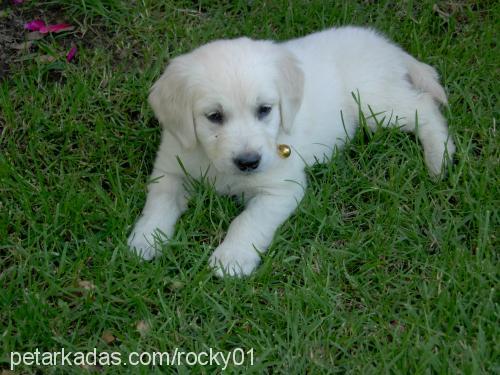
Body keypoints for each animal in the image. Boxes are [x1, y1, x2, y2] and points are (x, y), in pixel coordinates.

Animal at [127, 26, 456, 278]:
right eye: (214, 116)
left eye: (264, 110)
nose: (248, 162)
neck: (213, 161)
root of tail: (384, 44)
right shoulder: (170, 169)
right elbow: (159, 203)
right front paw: (146, 239)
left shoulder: (281, 189)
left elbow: (248, 220)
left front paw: (232, 257)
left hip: (375, 104)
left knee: (424, 108)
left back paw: (439, 158)